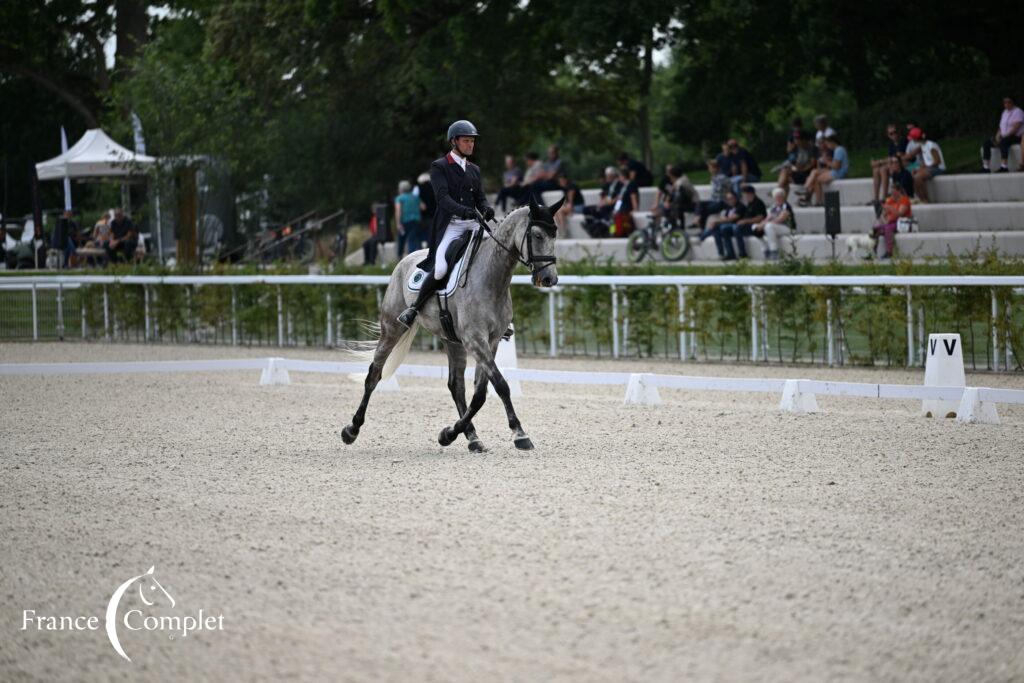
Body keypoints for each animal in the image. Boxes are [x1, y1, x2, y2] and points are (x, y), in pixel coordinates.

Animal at [337, 196, 561, 454]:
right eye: (537, 235)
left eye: (555, 235)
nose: (549, 279)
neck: (492, 278)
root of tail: (405, 259)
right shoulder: (476, 340)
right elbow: (501, 386)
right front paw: (520, 434)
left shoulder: (490, 341)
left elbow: (480, 393)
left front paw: (449, 434)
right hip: (392, 329)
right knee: (374, 374)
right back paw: (351, 430)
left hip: (452, 341)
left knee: (456, 386)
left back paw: (472, 438)